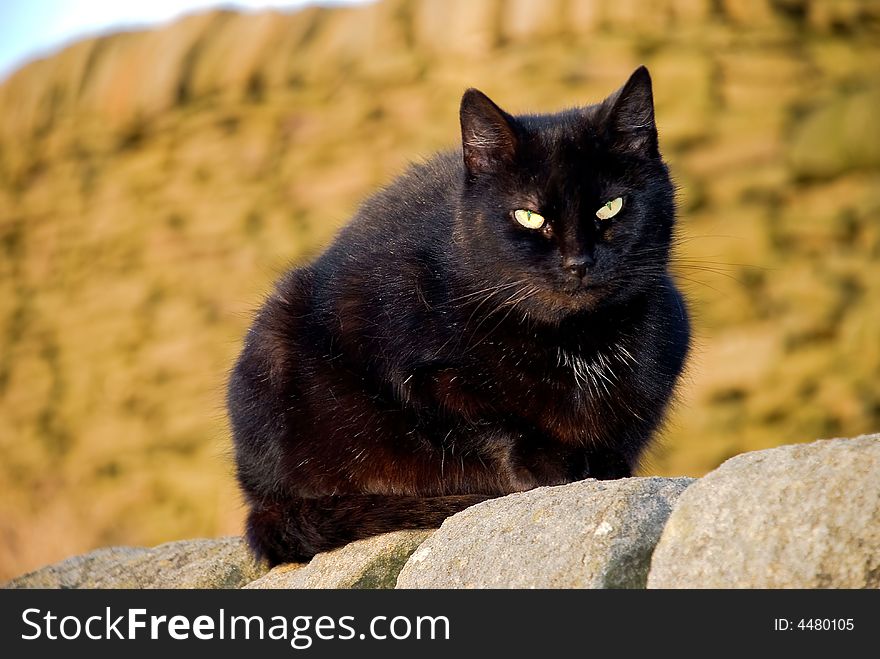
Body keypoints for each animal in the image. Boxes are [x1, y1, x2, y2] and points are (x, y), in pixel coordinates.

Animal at [225, 64, 688, 564]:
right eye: (527, 216)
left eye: (610, 207)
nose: (578, 262)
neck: (575, 341)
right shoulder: (411, 369)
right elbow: (484, 421)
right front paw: (547, 464)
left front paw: (599, 460)